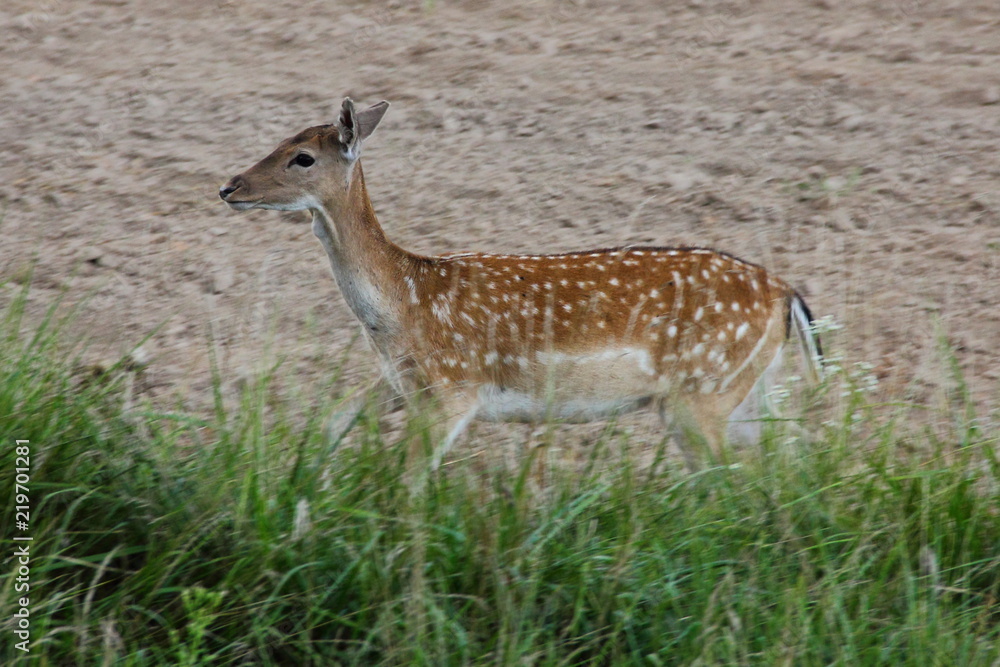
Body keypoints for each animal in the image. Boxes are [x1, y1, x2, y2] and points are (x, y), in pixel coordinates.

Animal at [223, 98, 824, 470]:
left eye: (302, 157)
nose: (230, 187)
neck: (401, 304)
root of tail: (786, 294)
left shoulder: (454, 387)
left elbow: (408, 481)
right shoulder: (401, 383)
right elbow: (330, 423)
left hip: (702, 391)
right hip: (741, 390)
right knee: (782, 462)